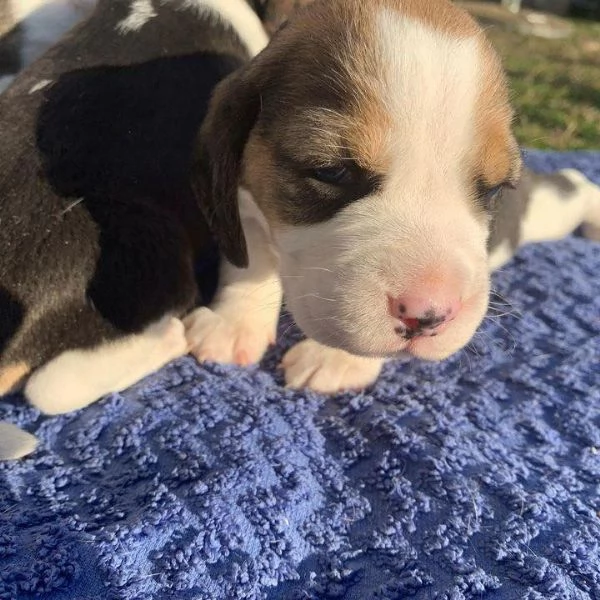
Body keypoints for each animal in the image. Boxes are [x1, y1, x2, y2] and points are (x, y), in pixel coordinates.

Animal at [1, 0, 600, 424]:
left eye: (493, 190)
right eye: (332, 171)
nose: (427, 316)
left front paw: (341, 360)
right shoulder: (242, 194)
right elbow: (251, 264)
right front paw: (235, 324)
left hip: (529, 219)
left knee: (570, 187)